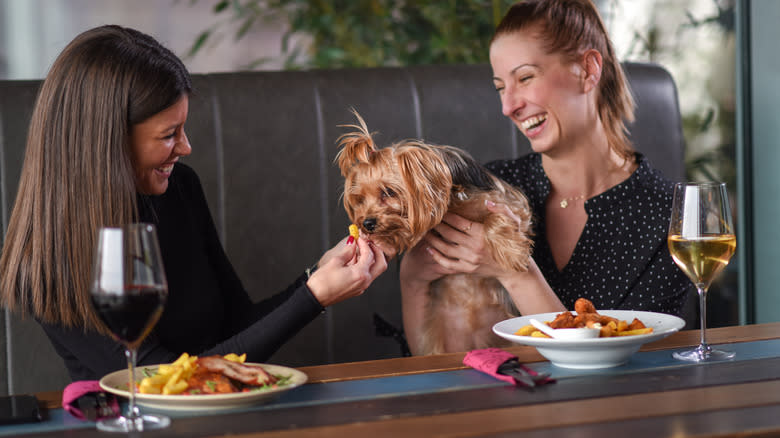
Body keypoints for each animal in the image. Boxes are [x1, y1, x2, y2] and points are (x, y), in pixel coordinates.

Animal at [338, 111, 532, 354]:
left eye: (388, 191)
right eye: (360, 199)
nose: (367, 223)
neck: (451, 202)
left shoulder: (507, 200)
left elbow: (497, 218)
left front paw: (513, 254)